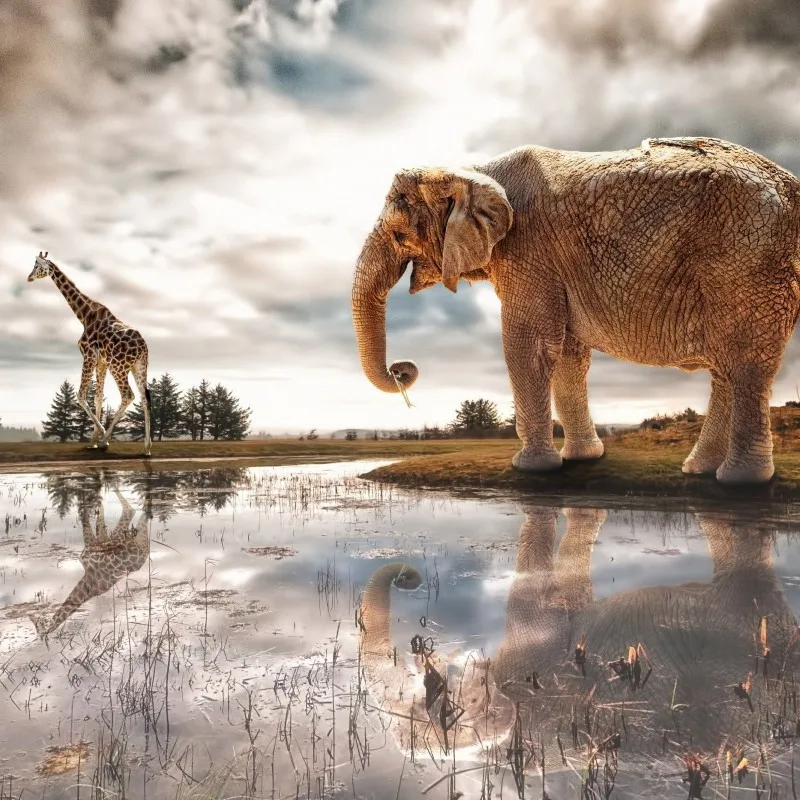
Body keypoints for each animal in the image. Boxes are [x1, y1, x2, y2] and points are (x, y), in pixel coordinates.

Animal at [27, 251, 152, 456]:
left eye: (37, 266)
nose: (29, 277)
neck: (84, 315)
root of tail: (142, 347)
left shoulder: (88, 356)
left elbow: (81, 395)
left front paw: (101, 439)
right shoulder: (101, 362)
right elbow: (98, 397)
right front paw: (93, 440)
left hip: (119, 367)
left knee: (128, 395)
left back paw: (106, 438)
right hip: (139, 366)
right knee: (144, 397)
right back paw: (147, 448)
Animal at [30, 488, 150, 639]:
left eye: (39, 624)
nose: (41, 635)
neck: (89, 585)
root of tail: (143, 553)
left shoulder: (92, 546)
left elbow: (86, 519)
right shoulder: (98, 543)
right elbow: (96, 520)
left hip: (123, 539)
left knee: (130, 510)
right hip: (131, 538)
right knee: (133, 513)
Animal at [351, 136, 800, 484]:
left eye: (399, 235)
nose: (403, 370)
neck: (473, 170)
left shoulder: (530, 249)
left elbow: (528, 346)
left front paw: (531, 469)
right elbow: (568, 352)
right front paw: (581, 459)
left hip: (747, 259)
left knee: (745, 362)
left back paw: (740, 481)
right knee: (727, 367)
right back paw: (700, 470)